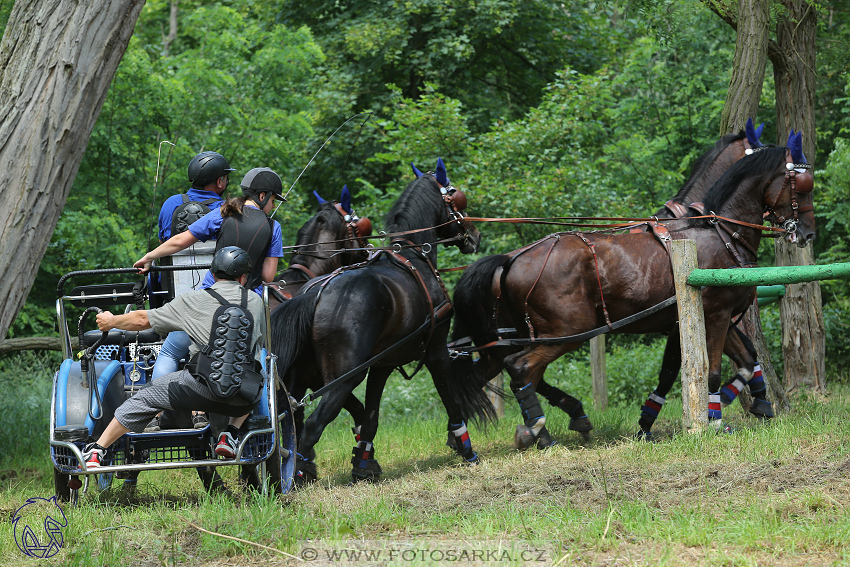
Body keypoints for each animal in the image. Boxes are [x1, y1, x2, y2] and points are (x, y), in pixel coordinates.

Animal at [268, 166, 486, 486]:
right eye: (456, 198)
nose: (474, 234)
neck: (413, 255)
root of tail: (315, 293)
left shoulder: (381, 364)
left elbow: (370, 417)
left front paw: (363, 464)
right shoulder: (436, 351)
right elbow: (450, 398)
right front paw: (464, 447)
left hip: (303, 376)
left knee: (292, 418)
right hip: (343, 377)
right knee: (312, 424)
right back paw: (297, 474)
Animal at [450, 143, 816, 452]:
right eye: (801, 185)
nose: (808, 233)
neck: (720, 234)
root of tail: (512, 259)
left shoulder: (706, 319)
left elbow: (746, 358)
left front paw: (758, 405)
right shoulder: (714, 314)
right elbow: (707, 369)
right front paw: (713, 418)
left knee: (489, 374)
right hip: (569, 331)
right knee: (521, 368)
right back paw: (540, 433)